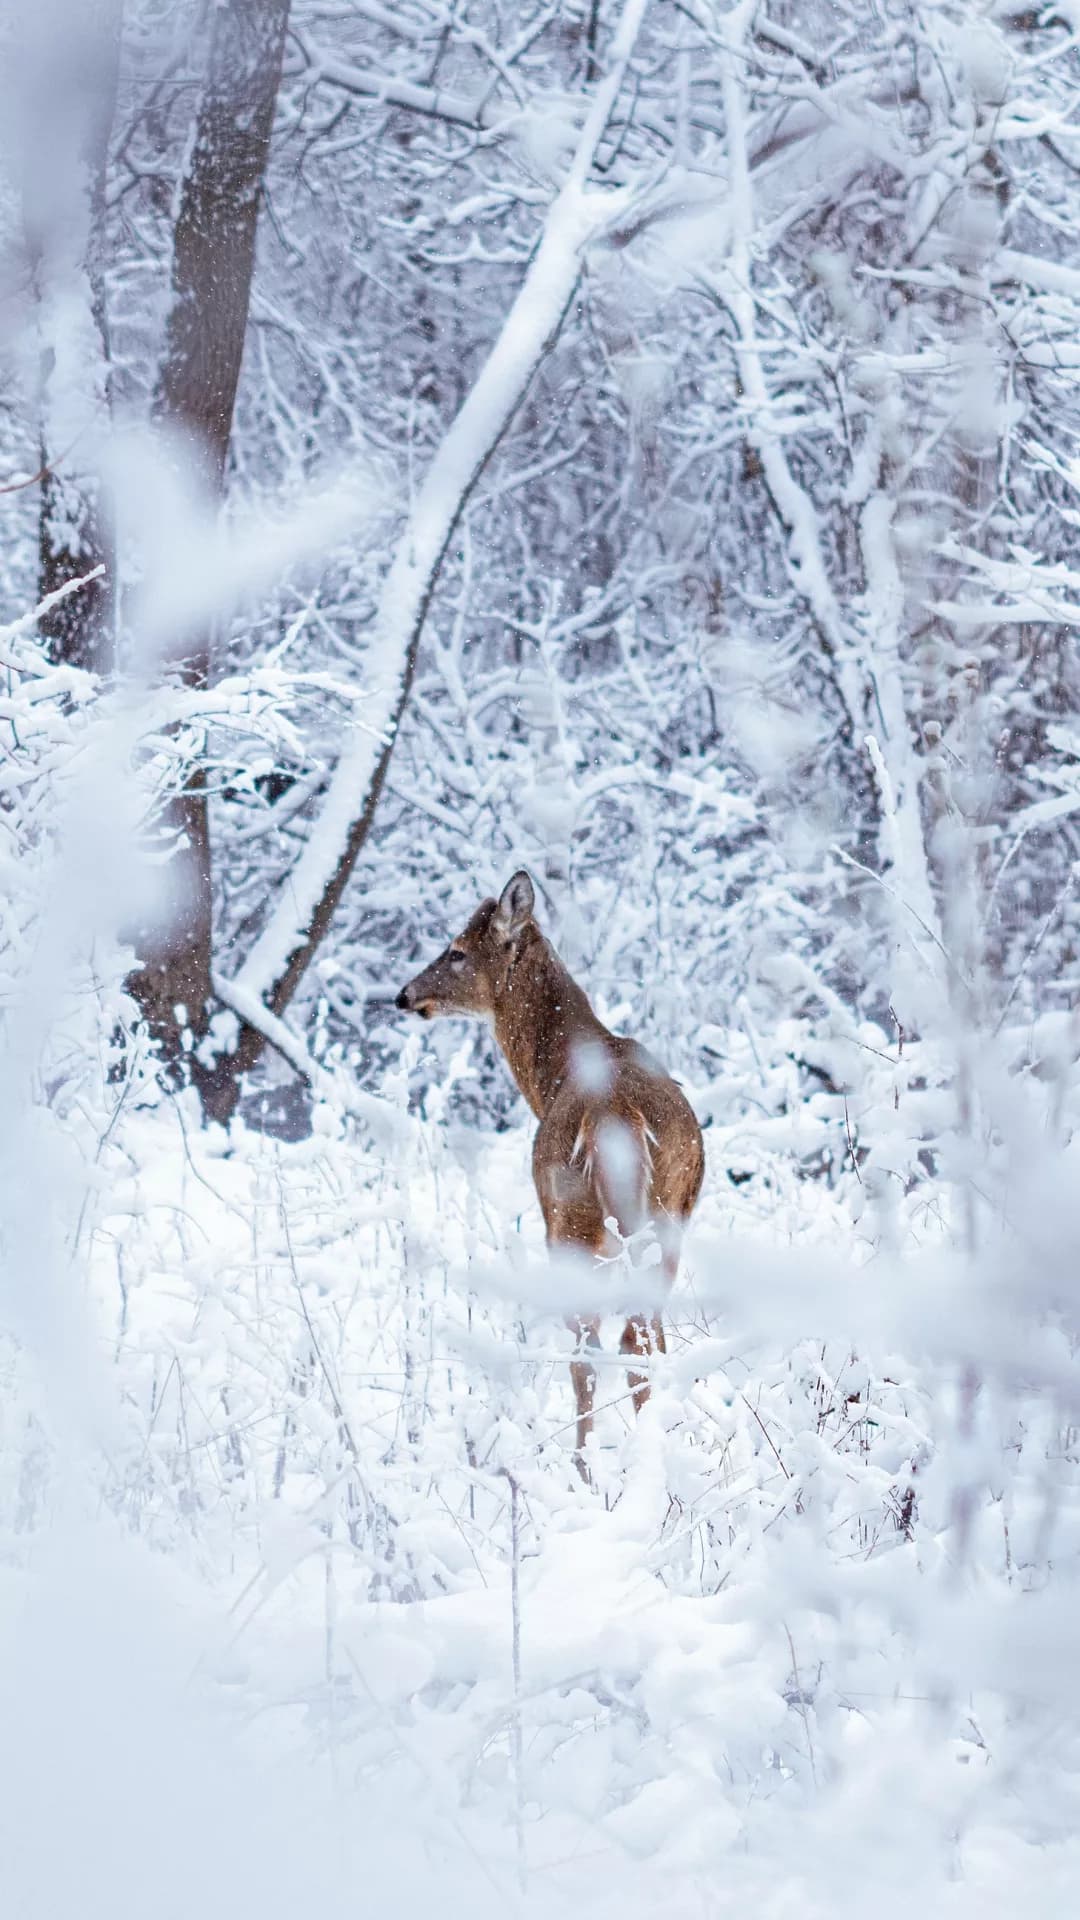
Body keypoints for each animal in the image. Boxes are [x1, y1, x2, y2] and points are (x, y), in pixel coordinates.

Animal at [394, 871, 705, 1475]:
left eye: (457, 951)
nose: (405, 994)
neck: (552, 1077)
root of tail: (615, 1116)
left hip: (570, 1219)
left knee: (596, 1346)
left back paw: (584, 1467)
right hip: (664, 1217)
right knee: (645, 1334)